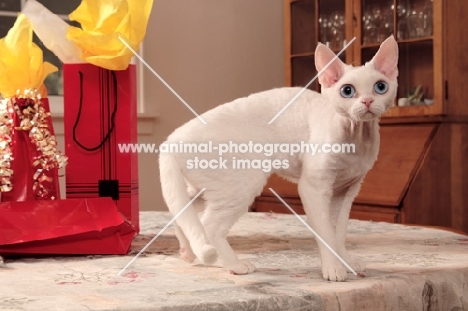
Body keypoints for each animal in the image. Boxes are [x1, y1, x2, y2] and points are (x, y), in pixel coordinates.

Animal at [159, 35, 396, 282]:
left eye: (380, 87)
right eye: (347, 91)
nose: (367, 101)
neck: (356, 137)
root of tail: (171, 139)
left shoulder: (347, 190)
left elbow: (338, 232)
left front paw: (346, 261)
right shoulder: (314, 187)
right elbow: (325, 233)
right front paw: (333, 268)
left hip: (203, 188)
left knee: (182, 211)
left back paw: (188, 252)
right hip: (242, 184)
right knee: (209, 225)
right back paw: (234, 265)